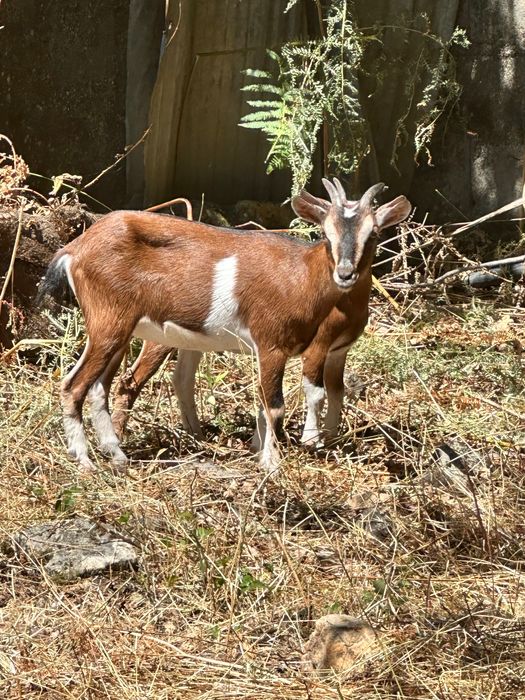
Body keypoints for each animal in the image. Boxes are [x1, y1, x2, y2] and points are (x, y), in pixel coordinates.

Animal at [39, 179, 411, 472]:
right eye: (325, 232)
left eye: (373, 234)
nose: (345, 274)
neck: (299, 276)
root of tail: (75, 249)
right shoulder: (274, 344)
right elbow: (277, 404)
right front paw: (276, 462)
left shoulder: (299, 351)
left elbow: (276, 401)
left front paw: (266, 450)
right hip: (109, 324)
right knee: (74, 385)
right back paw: (85, 461)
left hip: (119, 330)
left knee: (100, 387)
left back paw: (117, 455)